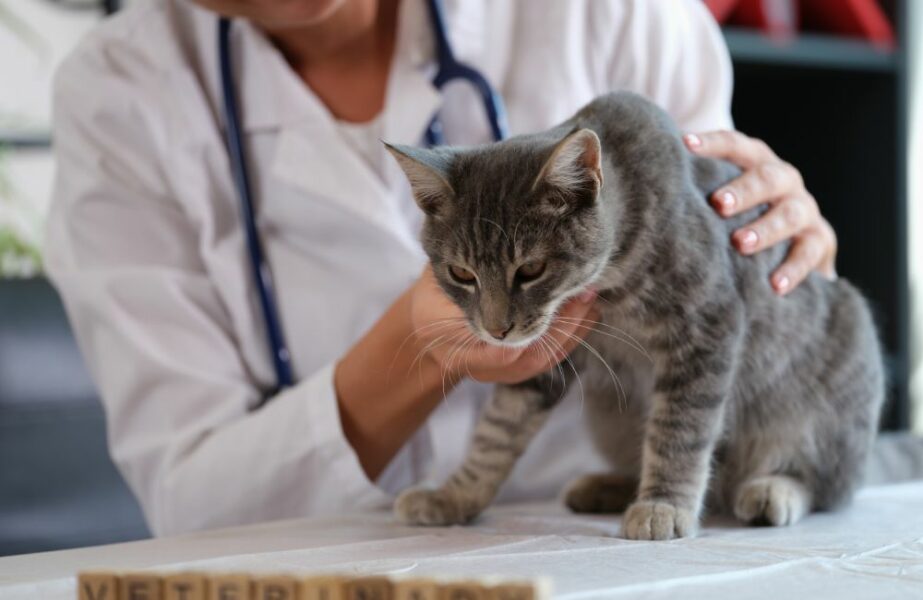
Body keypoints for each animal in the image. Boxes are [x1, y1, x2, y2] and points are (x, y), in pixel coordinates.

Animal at [386, 91, 884, 540]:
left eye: (530, 270)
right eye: (460, 273)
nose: (497, 330)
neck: (611, 283)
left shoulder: (707, 325)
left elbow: (680, 429)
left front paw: (664, 505)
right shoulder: (546, 359)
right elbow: (497, 432)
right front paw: (454, 496)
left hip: (831, 393)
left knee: (829, 483)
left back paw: (773, 489)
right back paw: (606, 486)